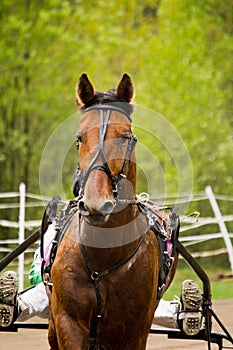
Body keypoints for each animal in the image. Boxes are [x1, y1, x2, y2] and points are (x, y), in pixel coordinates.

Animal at [46, 72, 179, 348]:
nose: (97, 204)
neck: (103, 253)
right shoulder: (67, 321)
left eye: (126, 136)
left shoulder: (133, 331)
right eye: (79, 138)